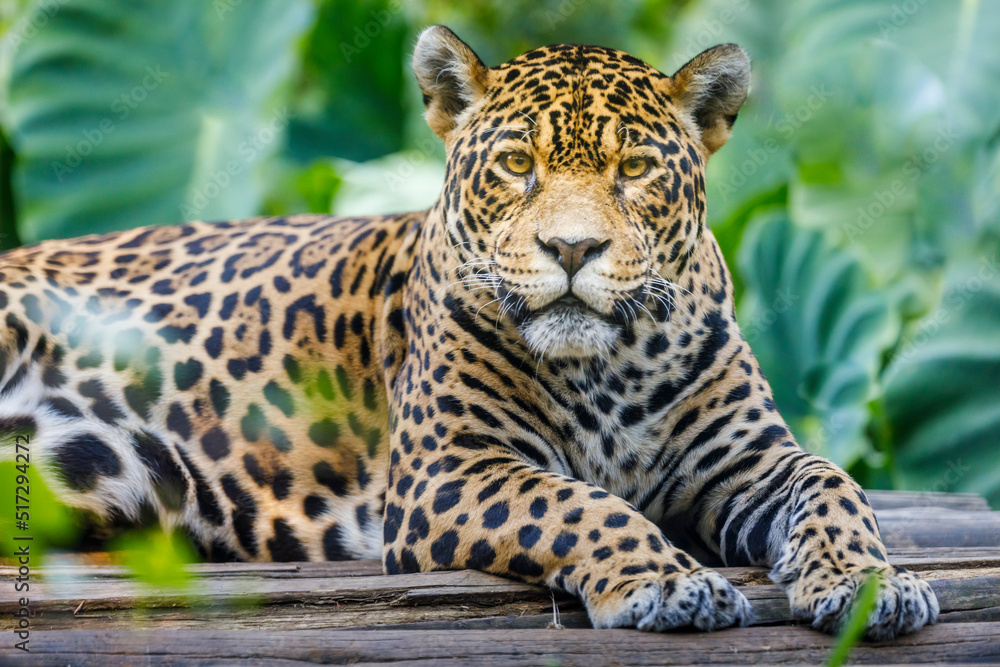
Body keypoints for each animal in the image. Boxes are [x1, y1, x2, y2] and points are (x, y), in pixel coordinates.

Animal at [0, 25, 938, 638]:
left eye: (634, 169)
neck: (609, 367)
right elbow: (577, 503)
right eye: (517, 164)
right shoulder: (453, 469)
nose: (572, 248)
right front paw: (668, 582)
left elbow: (834, 482)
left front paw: (871, 581)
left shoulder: (746, 458)